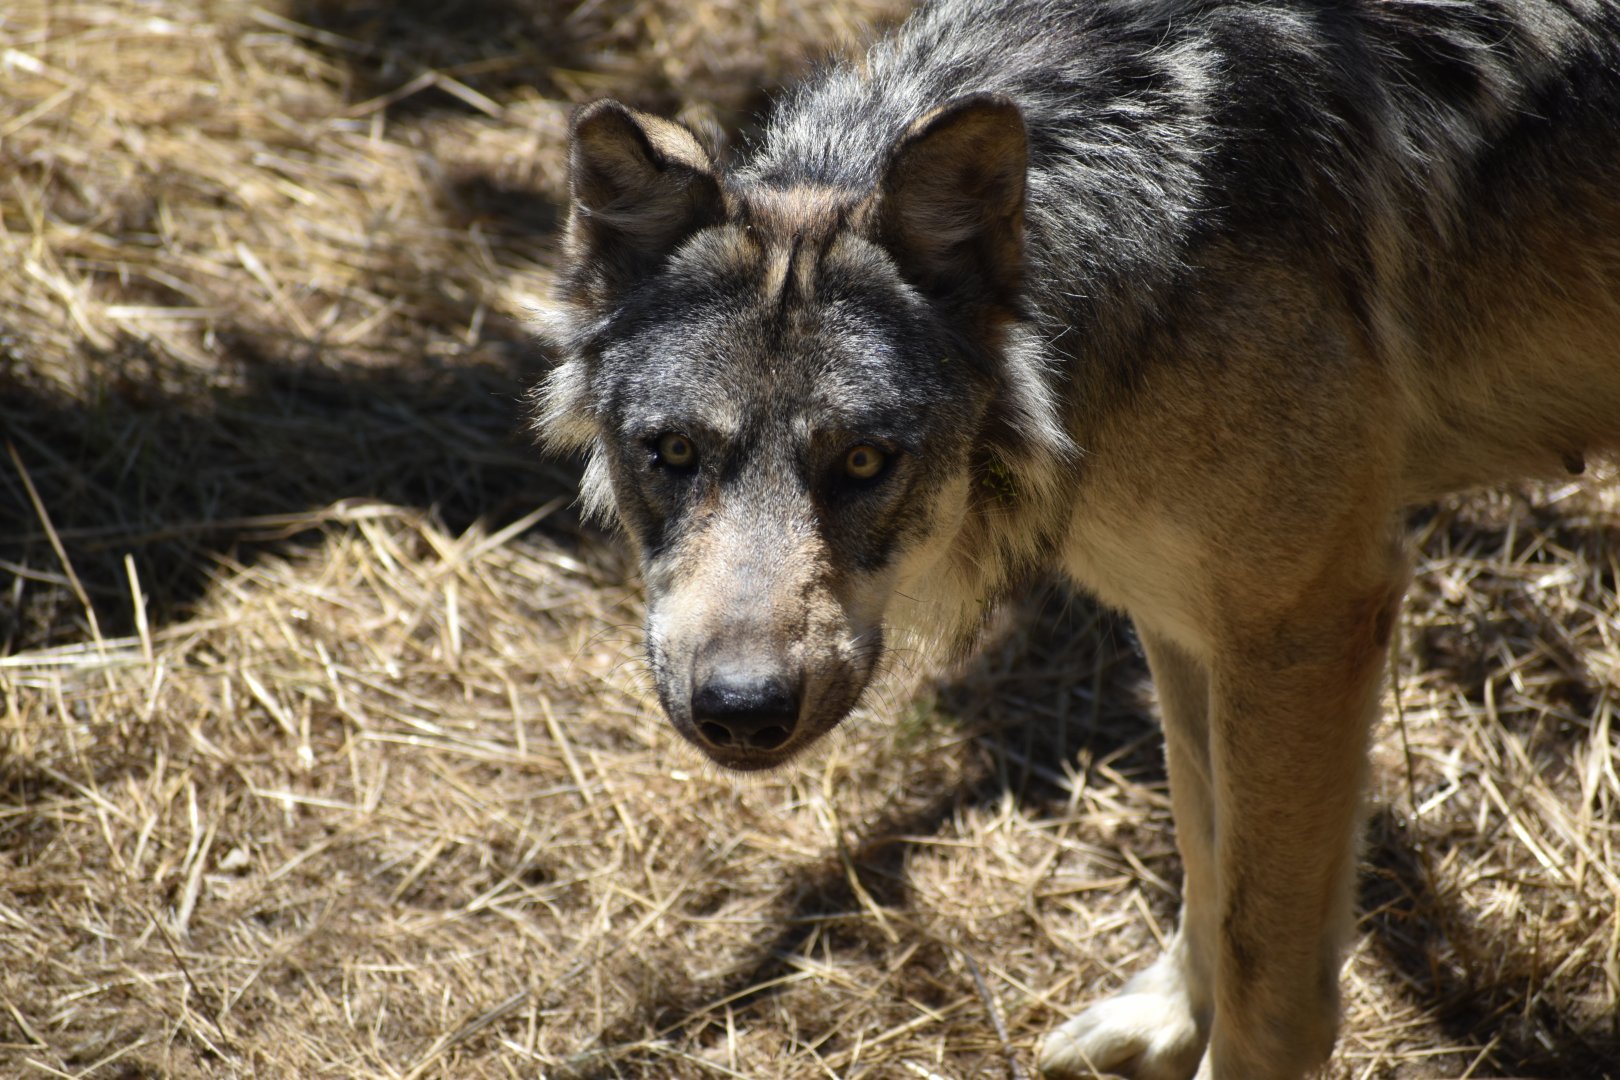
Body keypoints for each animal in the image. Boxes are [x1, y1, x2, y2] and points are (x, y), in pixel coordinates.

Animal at [534, 0, 1620, 1075]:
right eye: (674, 451)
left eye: (864, 462)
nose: (742, 710)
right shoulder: (1186, 619)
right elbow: (1202, 846)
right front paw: (1171, 1018)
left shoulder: (1307, 620)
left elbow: (1266, 969)